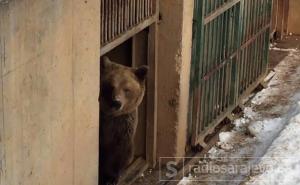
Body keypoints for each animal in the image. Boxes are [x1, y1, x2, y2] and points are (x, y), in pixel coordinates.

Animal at [100, 56, 148, 185]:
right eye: (111, 86)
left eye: (126, 89)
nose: (116, 102)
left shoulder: (123, 127)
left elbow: (121, 154)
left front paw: (112, 178)